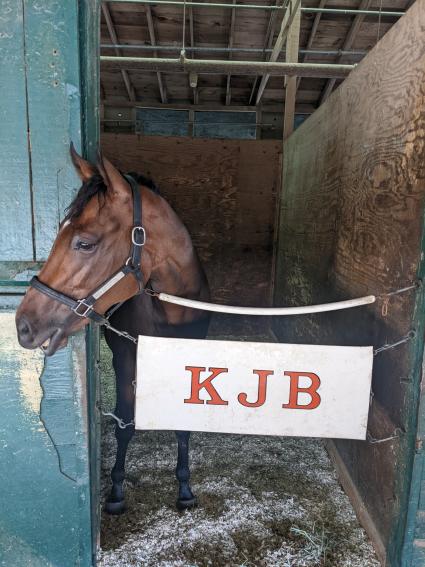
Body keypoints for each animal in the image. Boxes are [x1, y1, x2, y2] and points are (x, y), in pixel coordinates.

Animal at [14, 145, 210, 516]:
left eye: (85, 243)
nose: (23, 325)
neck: (170, 308)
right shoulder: (125, 359)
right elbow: (124, 425)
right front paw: (117, 491)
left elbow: (182, 427)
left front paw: (184, 488)